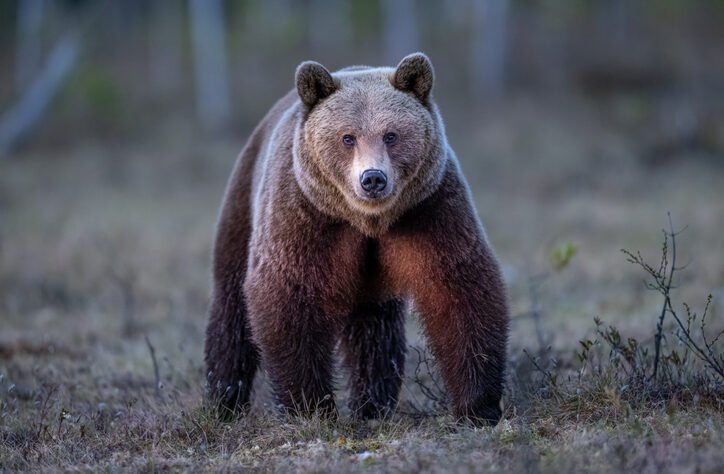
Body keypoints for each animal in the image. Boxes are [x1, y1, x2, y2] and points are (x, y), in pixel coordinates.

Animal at [204, 53, 509, 425]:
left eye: (391, 135)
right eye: (347, 137)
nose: (373, 178)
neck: (366, 220)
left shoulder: (429, 209)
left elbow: (458, 288)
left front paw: (479, 406)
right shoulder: (304, 215)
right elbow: (288, 293)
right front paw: (309, 405)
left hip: (372, 279)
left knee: (374, 330)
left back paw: (373, 404)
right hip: (243, 203)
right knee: (230, 306)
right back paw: (224, 400)